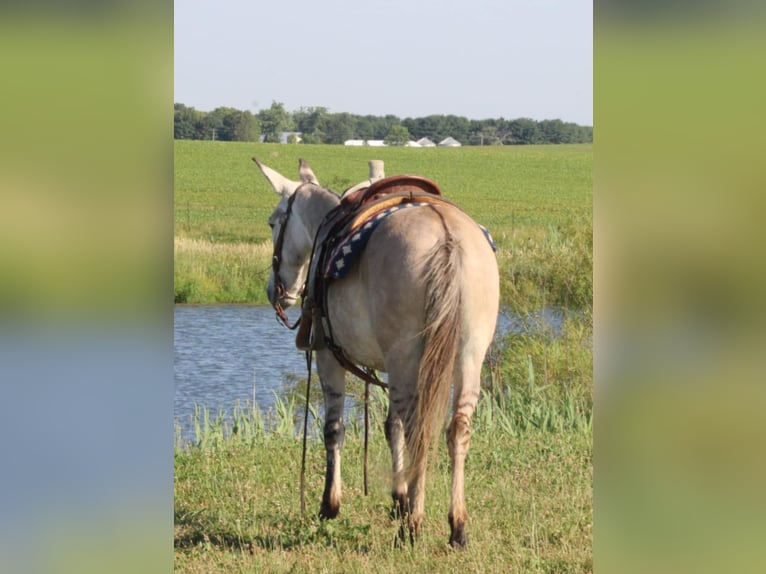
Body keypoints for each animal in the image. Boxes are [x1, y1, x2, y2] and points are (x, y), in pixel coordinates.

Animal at [253, 157, 499, 548]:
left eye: (274, 222)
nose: (275, 291)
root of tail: (446, 236)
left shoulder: (328, 356)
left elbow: (334, 428)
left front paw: (330, 505)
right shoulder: (390, 367)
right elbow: (390, 427)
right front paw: (398, 499)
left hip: (405, 357)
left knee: (419, 431)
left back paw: (413, 526)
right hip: (467, 357)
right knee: (455, 430)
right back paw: (456, 527)